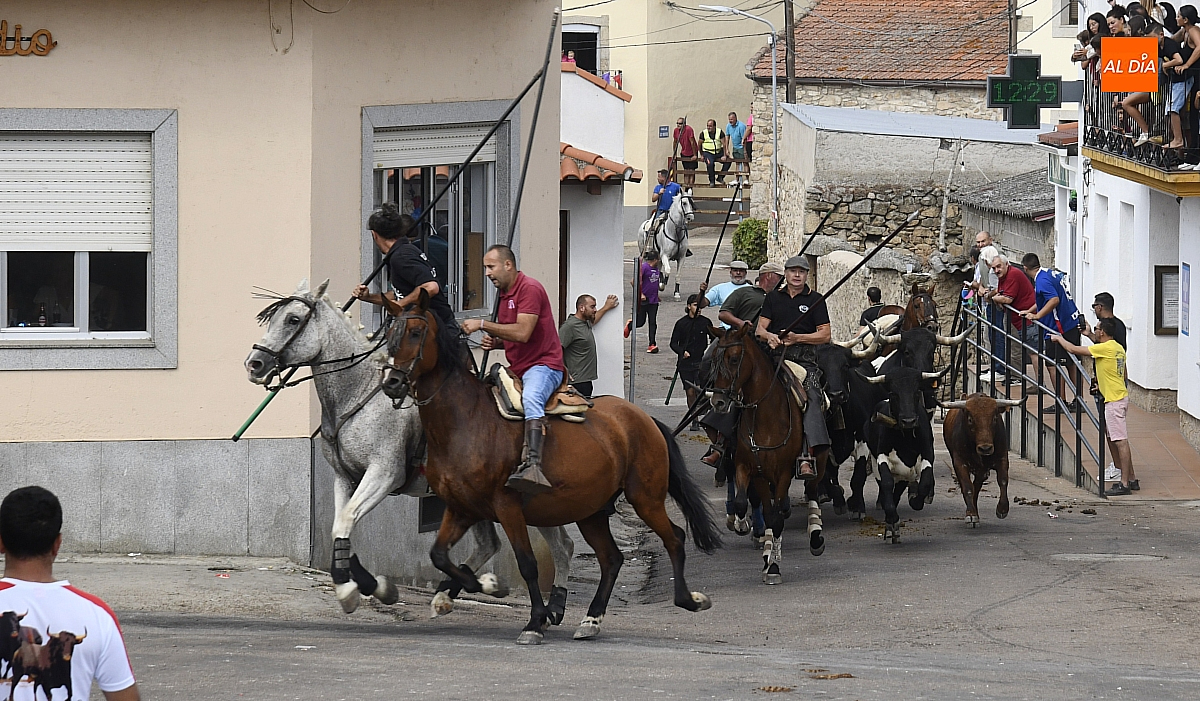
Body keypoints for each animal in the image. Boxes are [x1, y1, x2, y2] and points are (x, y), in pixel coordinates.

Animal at [244, 279, 576, 621]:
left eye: (293, 319)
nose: (254, 364)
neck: (358, 393)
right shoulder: (345, 478)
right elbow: (340, 527)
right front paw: (365, 587)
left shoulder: (383, 474)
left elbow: (347, 519)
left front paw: (356, 589)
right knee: (495, 544)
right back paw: (466, 591)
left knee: (560, 546)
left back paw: (547, 603)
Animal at [379, 290, 720, 644]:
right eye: (389, 335)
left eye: (415, 333)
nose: (392, 381)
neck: (466, 420)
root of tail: (643, 418)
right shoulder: (462, 508)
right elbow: (439, 555)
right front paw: (477, 586)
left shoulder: (507, 506)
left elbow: (527, 564)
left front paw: (533, 620)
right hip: (591, 510)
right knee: (612, 558)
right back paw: (591, 619)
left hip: (645, 499)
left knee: (675, 538)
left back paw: (688, 599)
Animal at [708, 324, 827, 586]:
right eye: (714, 359)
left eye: (734, 359)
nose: (718, 402)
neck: (765, 416)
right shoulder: (750, 468)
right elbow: (746, 502)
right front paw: (746, 529)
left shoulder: (782, 473)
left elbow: (776, 517)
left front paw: (773, 565)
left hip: (819, 460)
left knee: (813, 490)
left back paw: (815, 535)